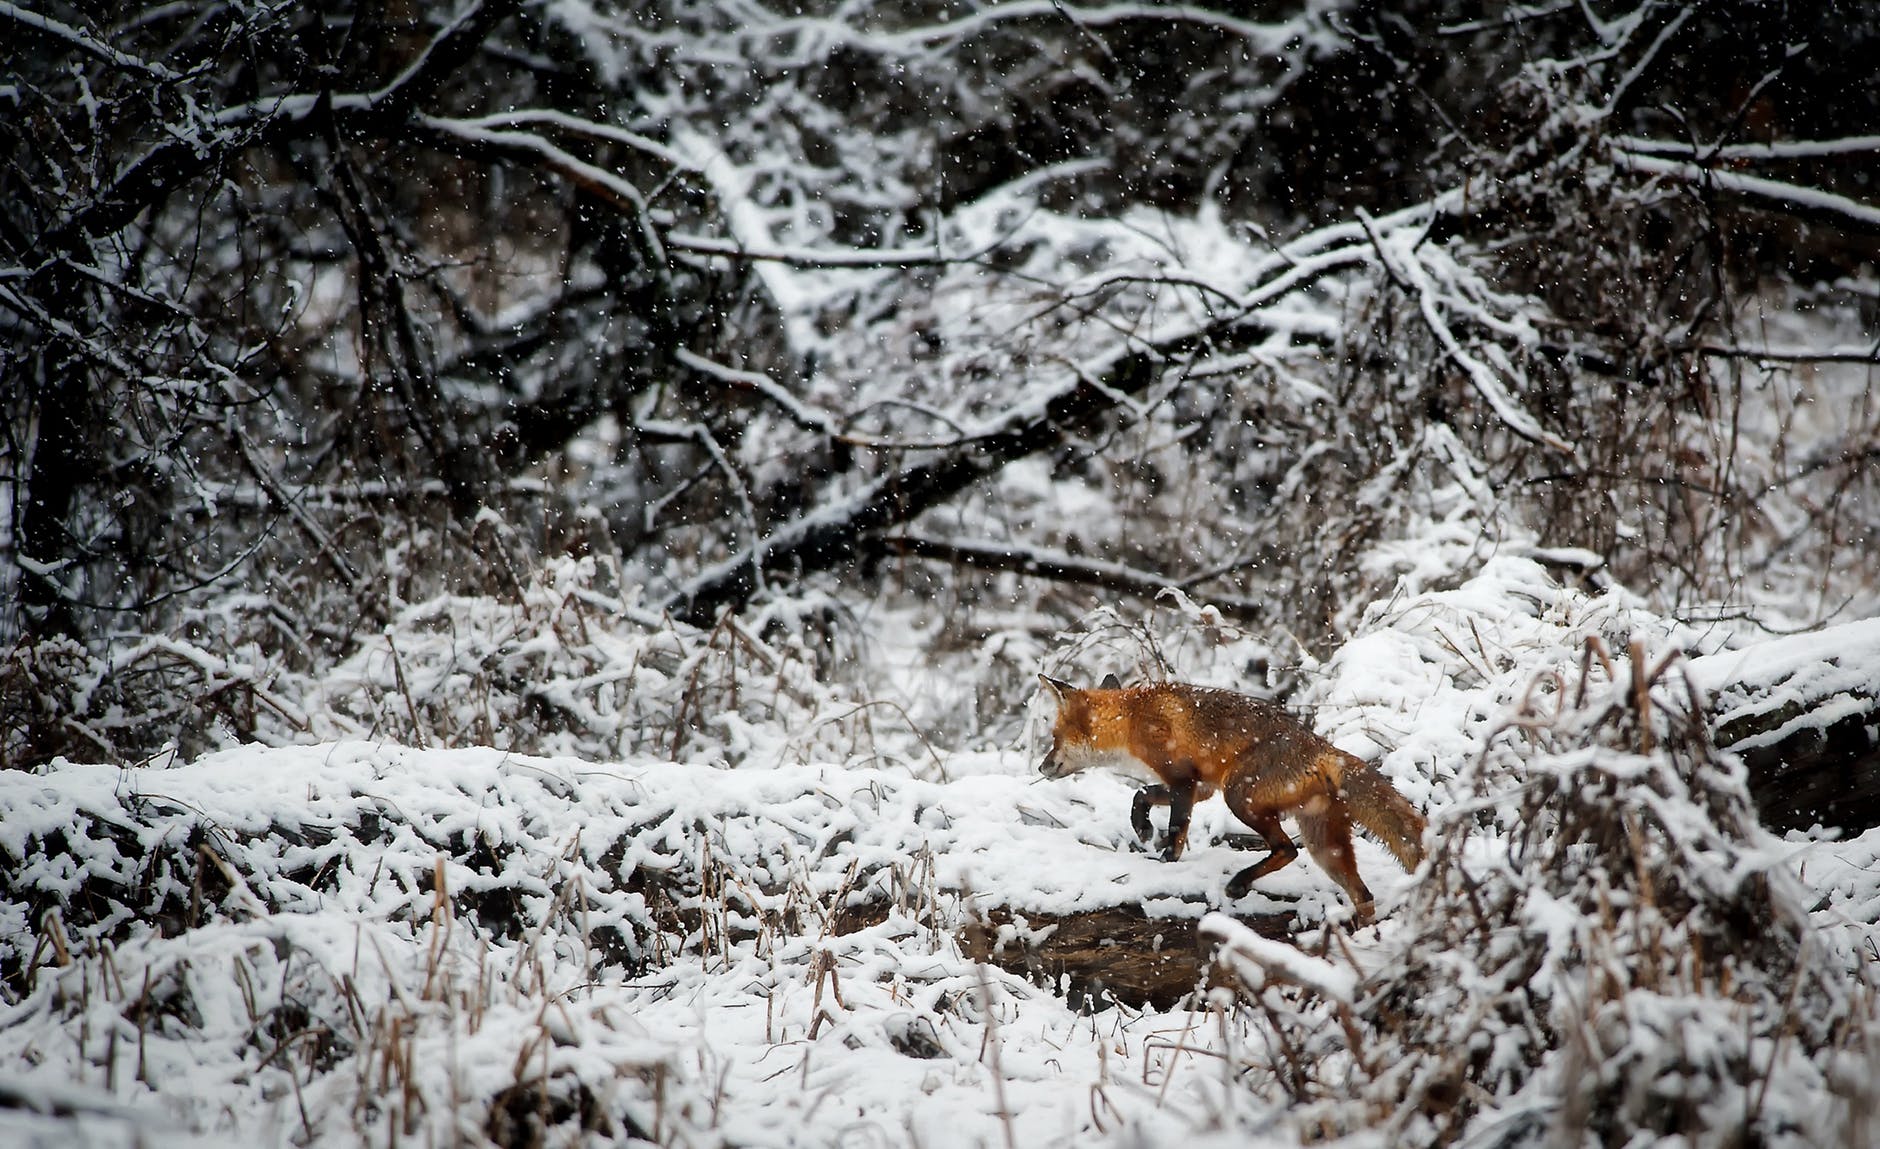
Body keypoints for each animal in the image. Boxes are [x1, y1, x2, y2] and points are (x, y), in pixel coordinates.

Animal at [1030, 673, 1421, 925]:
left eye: (1054, 737)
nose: (1041, 766)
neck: (1133, 718)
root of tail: (1324, 749)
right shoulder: (1200, 787)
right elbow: (1142, 794)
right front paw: (1142, 827)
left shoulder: (1183, 780)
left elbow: (1176, 829)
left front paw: (1165, 861)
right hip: (1324, 846)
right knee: (1363, 896)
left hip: (1240, 796)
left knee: (1286, 850)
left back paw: (1240, 883)